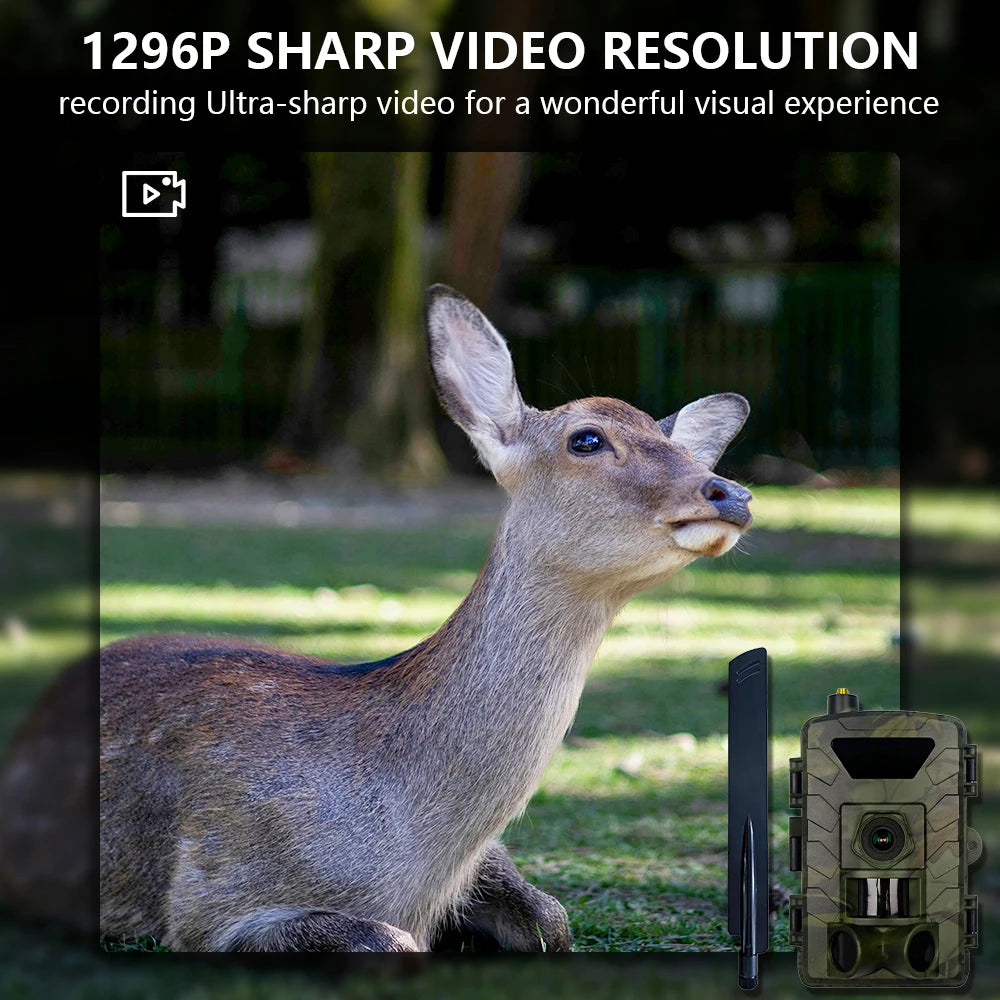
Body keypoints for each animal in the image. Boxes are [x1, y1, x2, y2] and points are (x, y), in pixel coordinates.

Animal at [94, 284, 753, 952]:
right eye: (586, 439)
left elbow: (553, 917)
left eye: (683, 447)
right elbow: (394, 940)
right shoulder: (211, 899)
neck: (411, 871)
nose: (732, 492)